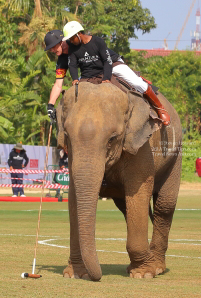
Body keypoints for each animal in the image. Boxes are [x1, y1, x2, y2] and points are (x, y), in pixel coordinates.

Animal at [56, 80, 182, 280]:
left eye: (112, 139)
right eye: (67, 136)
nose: (98, 277)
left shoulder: (142, 147)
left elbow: (138, 193)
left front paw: (144, 274)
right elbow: (74, 197)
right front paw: (74, 274)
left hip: (175, 155)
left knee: (164, 206)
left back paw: (157, 268)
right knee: (127, 209)